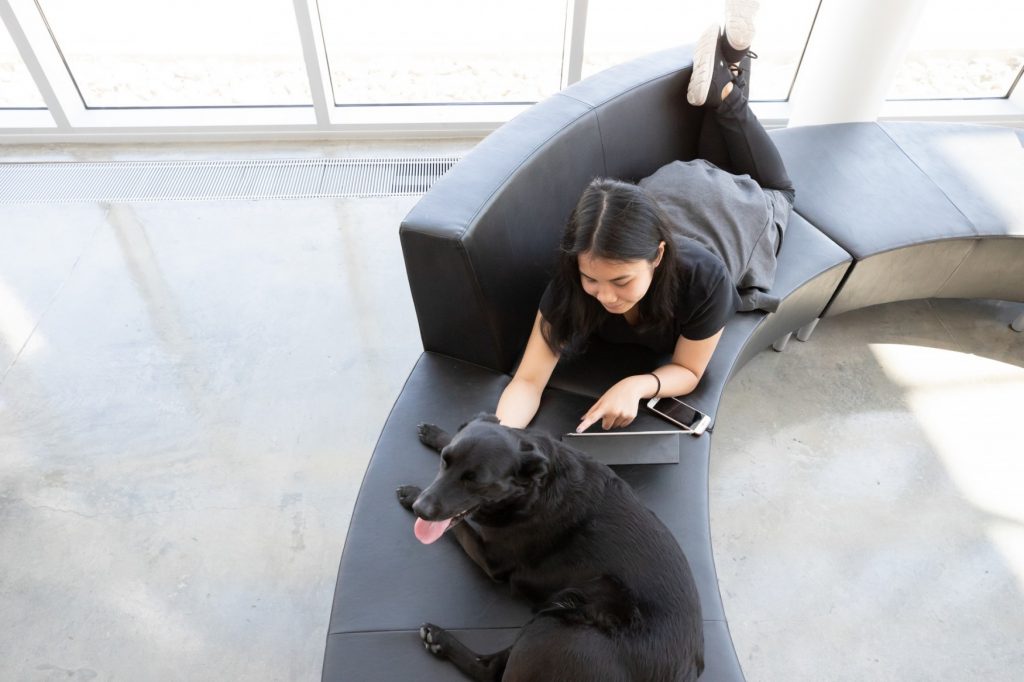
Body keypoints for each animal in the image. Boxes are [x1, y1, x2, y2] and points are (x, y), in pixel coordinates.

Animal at [393, 411, 704, 675]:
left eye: (475, 481)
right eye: (445, 461)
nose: (421, 508)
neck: (534, 489)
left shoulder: (491, 558)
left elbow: (461, 529)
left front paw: (412, 493)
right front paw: (436, 434)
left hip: (554, 626)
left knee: (491, 670)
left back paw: (441, 639)